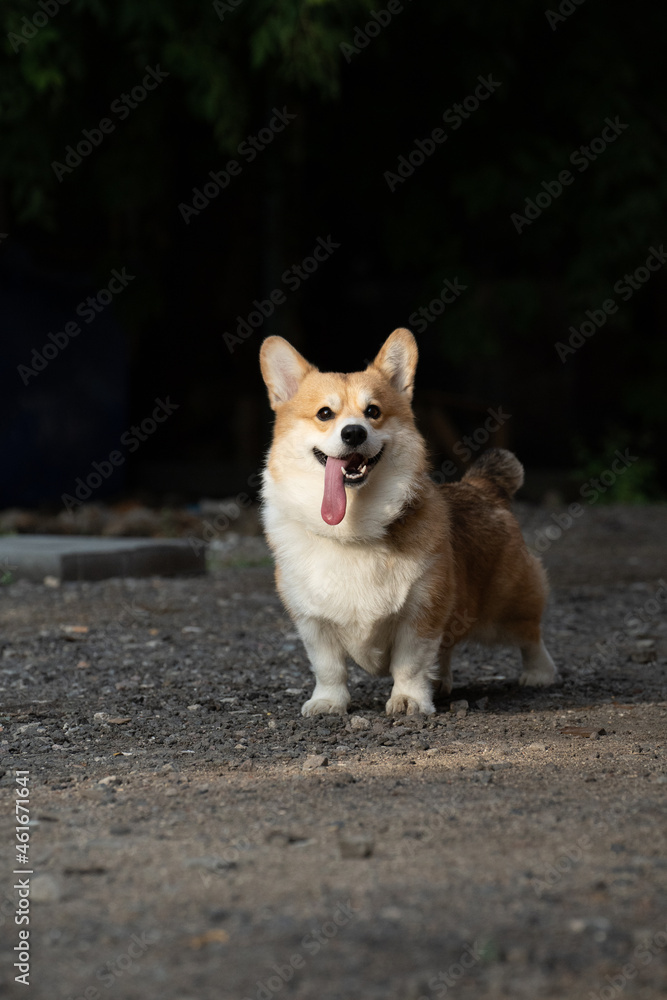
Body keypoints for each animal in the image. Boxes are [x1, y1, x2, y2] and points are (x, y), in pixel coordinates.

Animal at [260, 332, 560, 716]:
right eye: (324, 414)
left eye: (373, 412)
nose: (354, 433)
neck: (354, 529)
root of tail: (480, 486)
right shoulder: (313, 622)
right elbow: (328, 667)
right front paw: (328, 702)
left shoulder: (421, 612)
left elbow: (411, 663)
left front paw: (409, 700)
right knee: (447, 650)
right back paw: (441, 683)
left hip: (507, 606)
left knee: (530, 634)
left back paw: (539, 673)